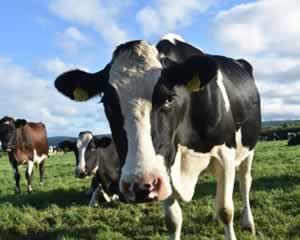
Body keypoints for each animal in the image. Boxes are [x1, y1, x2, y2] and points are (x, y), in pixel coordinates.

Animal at [55, 34, 262, 240]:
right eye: (108, 104)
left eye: (169, 98)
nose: (139, 186)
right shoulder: (164, 165)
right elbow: (173, 220)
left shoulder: (225, 154)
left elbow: (226, 210)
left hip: (248, 149)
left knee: (245, 181)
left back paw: (248, 222)